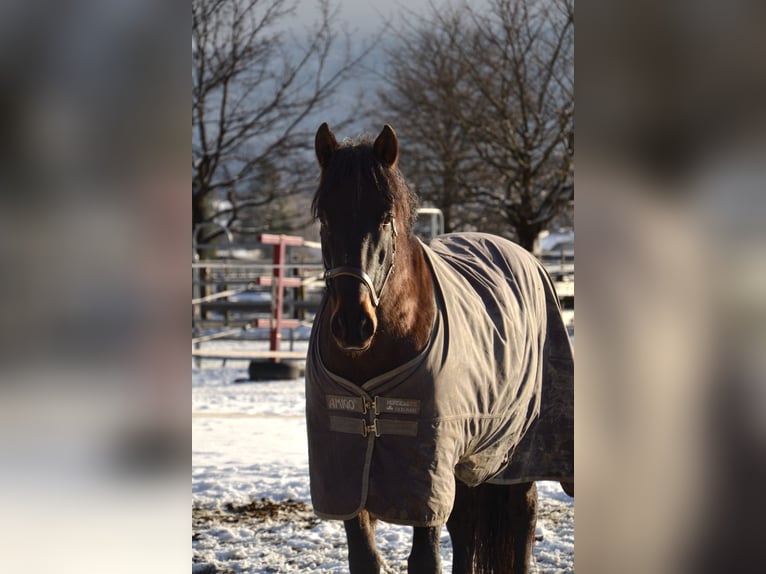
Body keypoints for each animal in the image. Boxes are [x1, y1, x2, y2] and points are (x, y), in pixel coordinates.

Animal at [306, 124, 576, 572]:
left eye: (385, 217)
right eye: (325, 218)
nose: (353, 324)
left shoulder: (426, 472)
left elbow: (425, 560)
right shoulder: (347, 475)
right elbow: (365, 558)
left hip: (519, 449)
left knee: (523, 515)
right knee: (465, 525)